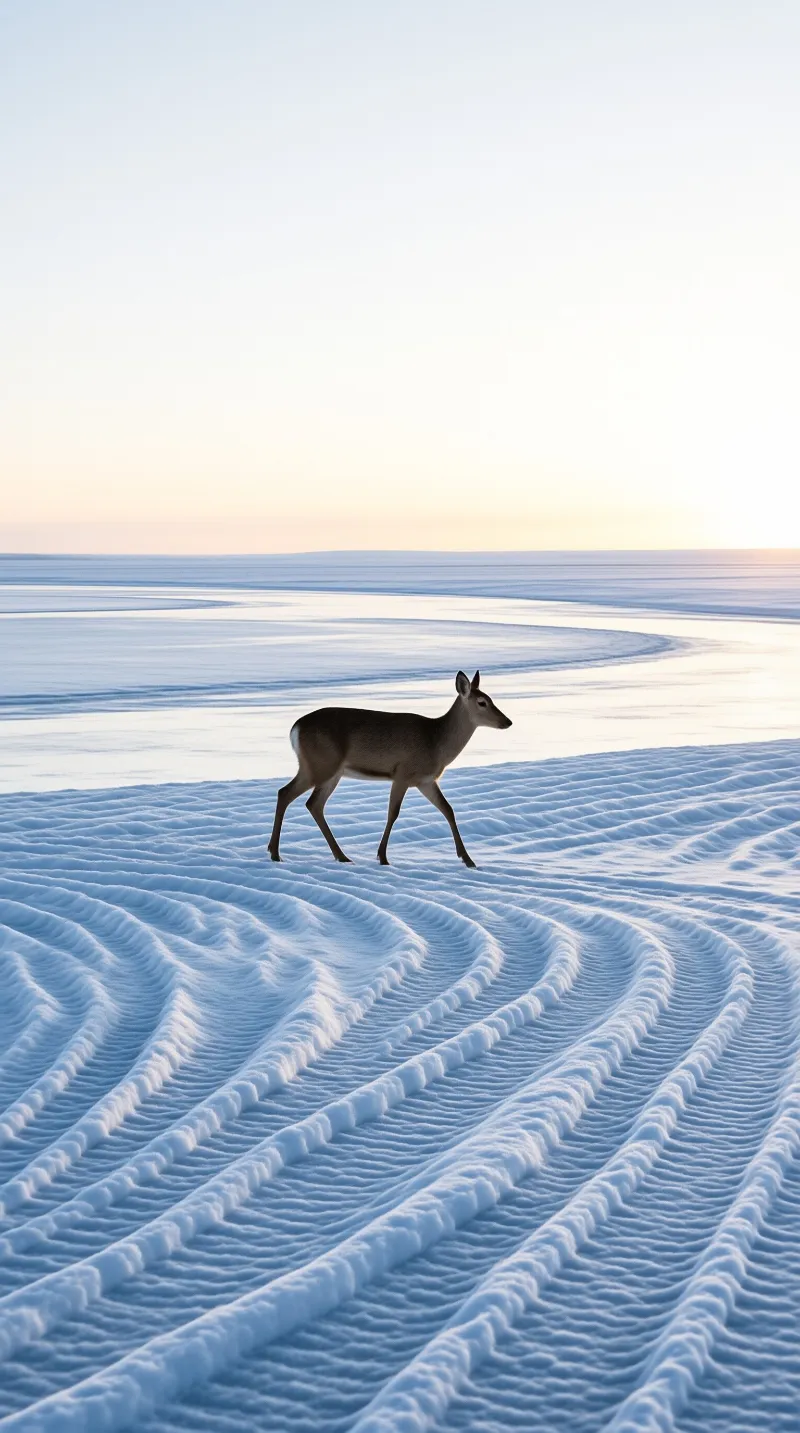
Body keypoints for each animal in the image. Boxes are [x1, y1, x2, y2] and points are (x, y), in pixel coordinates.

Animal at [268, 670, 512, 868]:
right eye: (482, 702)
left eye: (491, 699)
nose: (507, 721)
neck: (436, 742)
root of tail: (295, 728)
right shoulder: (403, 773)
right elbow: (393, 813)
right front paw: (383, 857)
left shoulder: (425, 780)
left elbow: (448, 809)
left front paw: (468, 859)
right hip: (320, 765)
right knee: (289, 794)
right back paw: (276, 853)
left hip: (328, 771)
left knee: (310, 803)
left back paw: (339, 855)